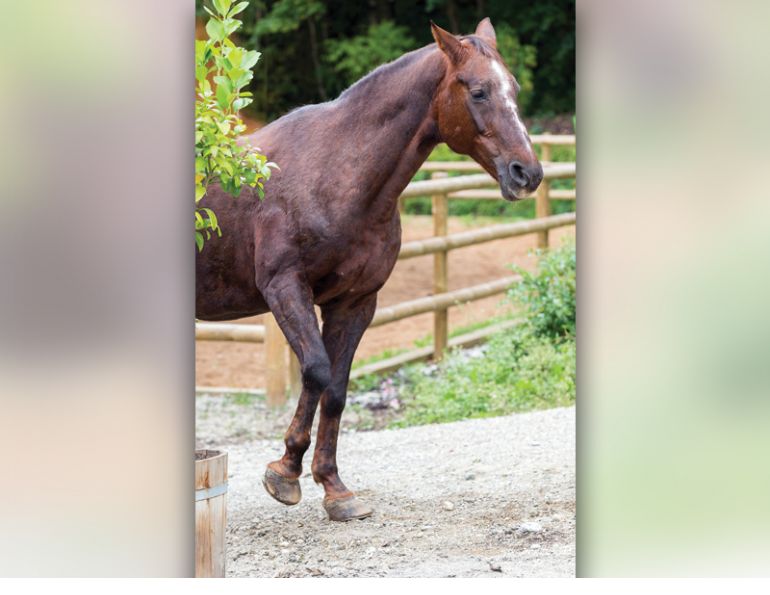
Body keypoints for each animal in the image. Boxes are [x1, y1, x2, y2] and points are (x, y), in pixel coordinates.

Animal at [196, 18, 543, 521]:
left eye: (513, 88)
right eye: (478, 92)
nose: (527, 174)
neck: (338, 173)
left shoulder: (356, 302)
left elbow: (337, 389)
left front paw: (334, 488)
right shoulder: (285, 287)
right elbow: (316, 371)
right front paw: (284, 473)